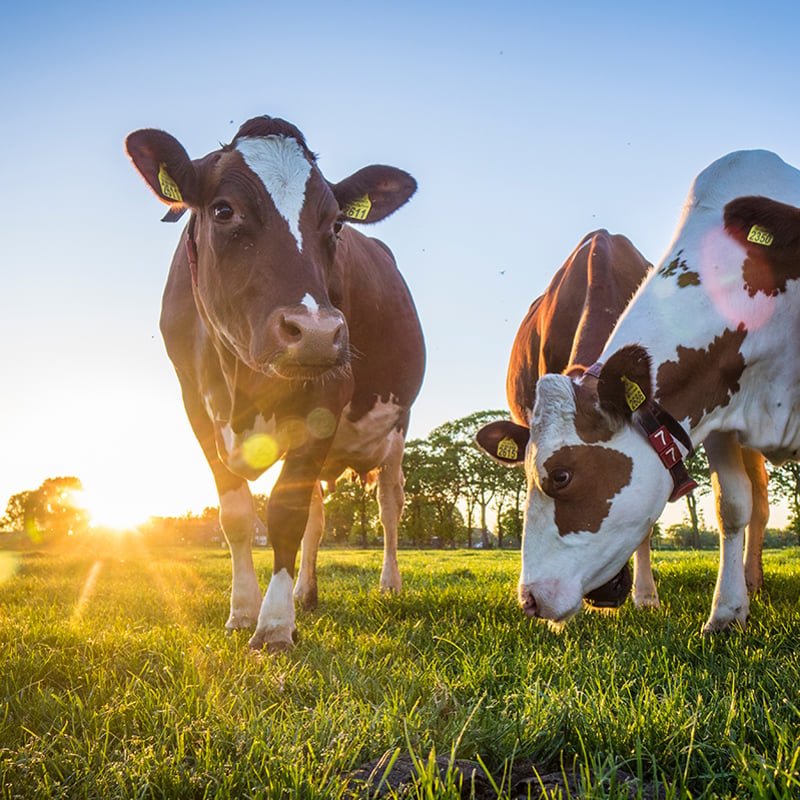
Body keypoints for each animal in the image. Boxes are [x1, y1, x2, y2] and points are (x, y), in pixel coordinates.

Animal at [125, 114, 424, 648]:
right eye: (223, 210)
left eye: (338, 224)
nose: (317, 332)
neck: (241, 381)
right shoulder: (195, 406)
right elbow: (237, 515)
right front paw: (243, 611)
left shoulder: (328, 396)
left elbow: (285, 514)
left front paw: (274, 626)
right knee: (319, 517)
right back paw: (306, 592)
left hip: (396, 427)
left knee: (390, 505)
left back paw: (388, 585)